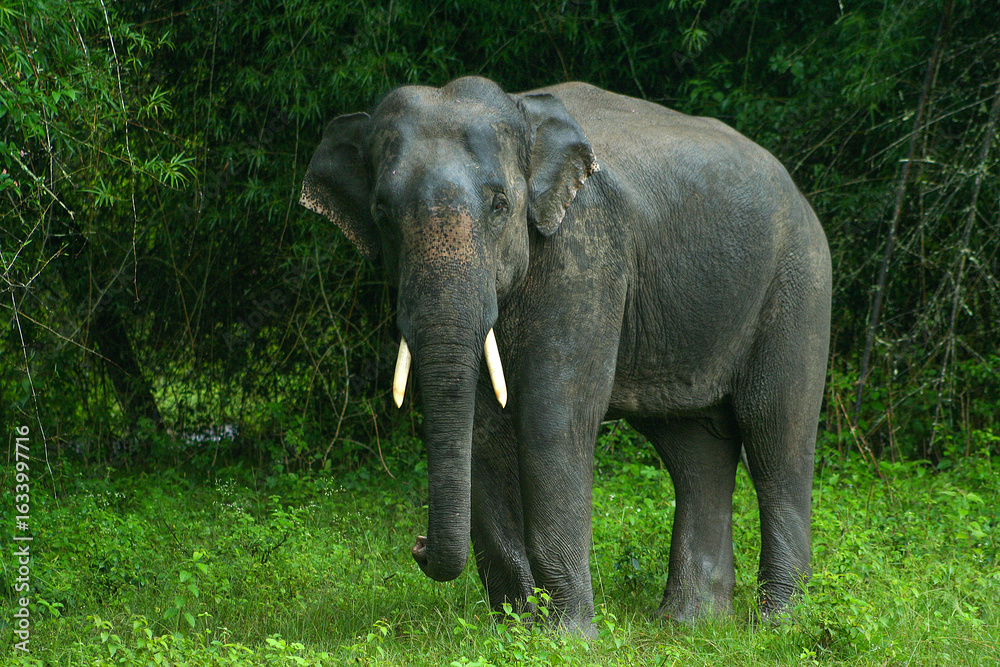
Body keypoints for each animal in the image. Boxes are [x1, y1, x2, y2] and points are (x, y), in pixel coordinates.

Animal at [300, 76, 831, 631]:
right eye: (381, 213)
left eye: (499, 205)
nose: (418, 545)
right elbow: (482, 429)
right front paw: (516, 628)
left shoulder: (585, 251)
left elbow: (554, 418)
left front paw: (567, 636)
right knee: (694, 447)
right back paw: (690, 623)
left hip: (800, 282)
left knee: (776, 432)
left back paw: (777, 623)